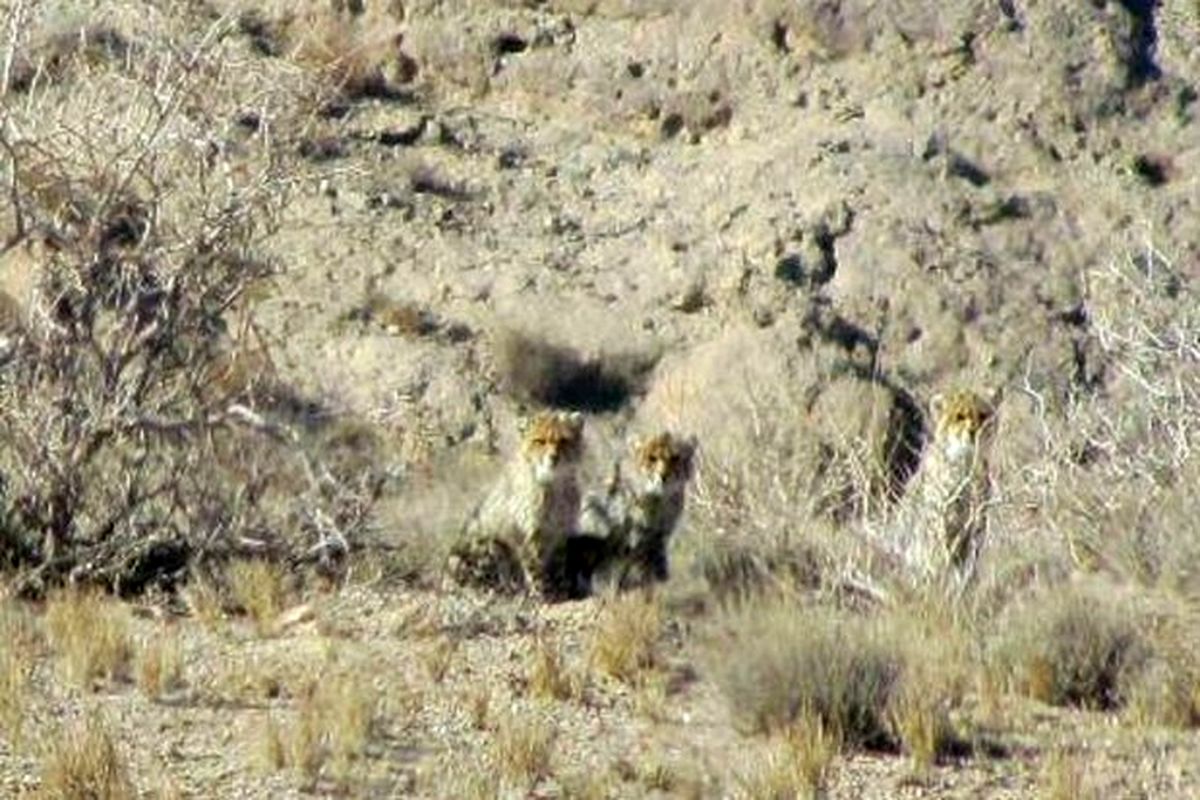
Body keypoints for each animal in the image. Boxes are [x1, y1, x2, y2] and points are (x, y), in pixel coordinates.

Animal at [446, 412, 585, 599]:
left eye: (563, 440)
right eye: (539, 441)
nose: (554, 457)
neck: (554, 483)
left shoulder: (560, 531)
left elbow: (558, 561)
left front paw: (560, 588)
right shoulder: (528, 533)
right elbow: (534, 564)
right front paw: (541, 593)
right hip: (487, 543)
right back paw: (509, 590)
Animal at [568, 431, 700, 594]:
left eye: (675, 458)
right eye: (652, 458)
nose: (663, 476)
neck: (656, 499)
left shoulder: (658, 538)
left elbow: (655, 562)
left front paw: (661, 580)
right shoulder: (604, 521)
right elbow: (613, 559)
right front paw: (609, 584)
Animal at [902, 388, 993, 587]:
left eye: (983, 415)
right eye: (959, 416)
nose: (973, 431)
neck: (965, 461)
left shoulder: (976, 520)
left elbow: (970, 555)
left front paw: (966, 581)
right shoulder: (939, 516)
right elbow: (940, 550)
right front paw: (945, 577)